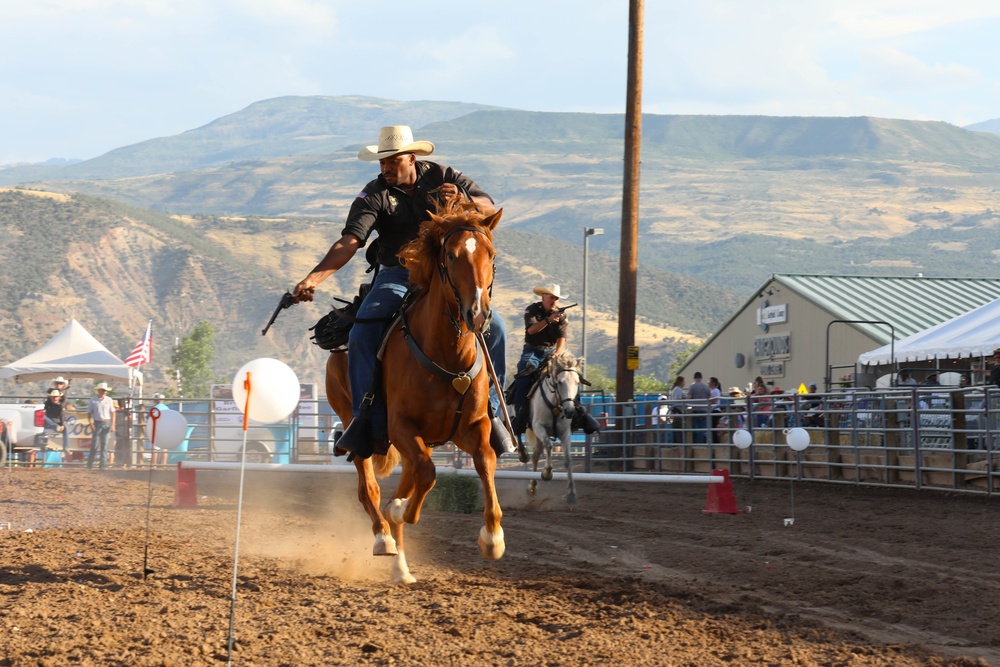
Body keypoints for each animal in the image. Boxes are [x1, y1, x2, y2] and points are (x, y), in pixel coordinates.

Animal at [324, 204, 504, 584]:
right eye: (450, 256)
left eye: (491, 255)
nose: (477, 314)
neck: (447, 354)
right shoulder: (401, 427)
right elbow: (426, 475)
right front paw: (399, 513)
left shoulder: (473, 426)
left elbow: (485, 461)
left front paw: (493, 538)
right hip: (356, 424)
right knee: (369, 488)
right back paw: (384, 538)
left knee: (407, 478)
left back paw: (401, 567)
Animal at [524, 352, 584, 504]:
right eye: (560, 382)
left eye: (577, 382)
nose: (570, 411)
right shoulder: (538, 427)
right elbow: (549, 446)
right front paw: (547, 473)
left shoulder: (565, 433)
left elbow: (568, 460)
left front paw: (571, 494)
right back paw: (522, 454)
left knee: (536, 455)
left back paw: (533, 486)